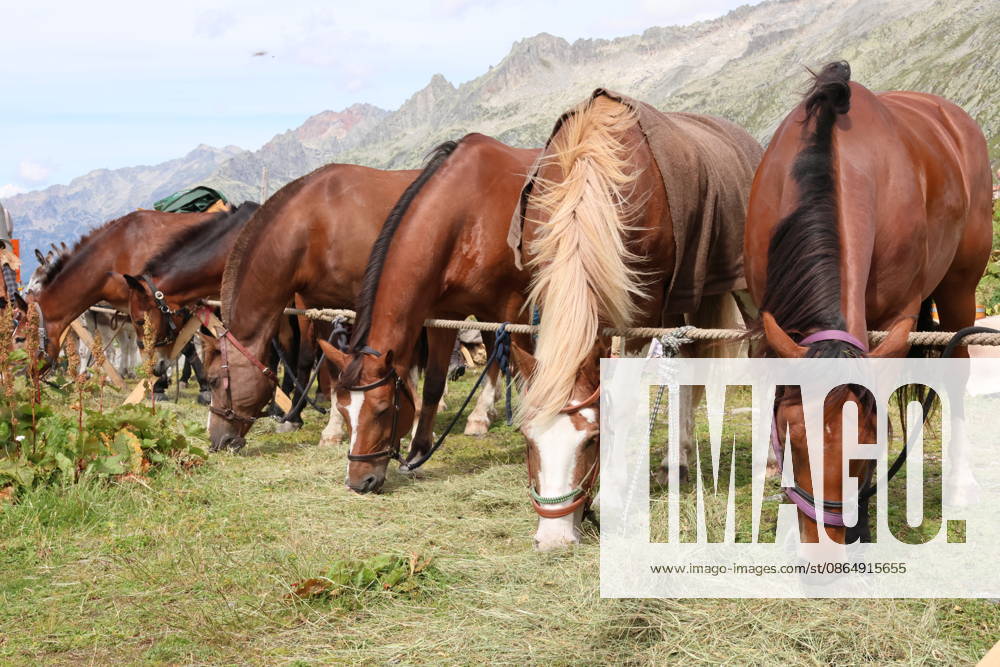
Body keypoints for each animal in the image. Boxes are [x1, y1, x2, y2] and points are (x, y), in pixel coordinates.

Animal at [203, 163, 433, 454]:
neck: (318, 223)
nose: (216, 440)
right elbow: (335, 371)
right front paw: (333, 430)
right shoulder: (325, 307)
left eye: (213, 380)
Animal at [316, 135, 538, 494]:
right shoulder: (443, 313)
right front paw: (419, 450)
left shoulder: (511, 308)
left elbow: (521, 372)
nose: (359, 481)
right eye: (345, 410)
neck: (468, 213)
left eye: (382, 410)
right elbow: (433, 382)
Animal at [510, 90, 761, 549]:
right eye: (527, 438)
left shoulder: (642, 317)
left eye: (591, 441)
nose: (554, 538)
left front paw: (609, 497)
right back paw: (676, 464)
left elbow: (623, 394)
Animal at [745, 62, 991, 545]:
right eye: (792, 438)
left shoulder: (894, 321)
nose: (823, 550)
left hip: (959, 287)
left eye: (868, 447)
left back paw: (961, 484)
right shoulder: (768, 321)